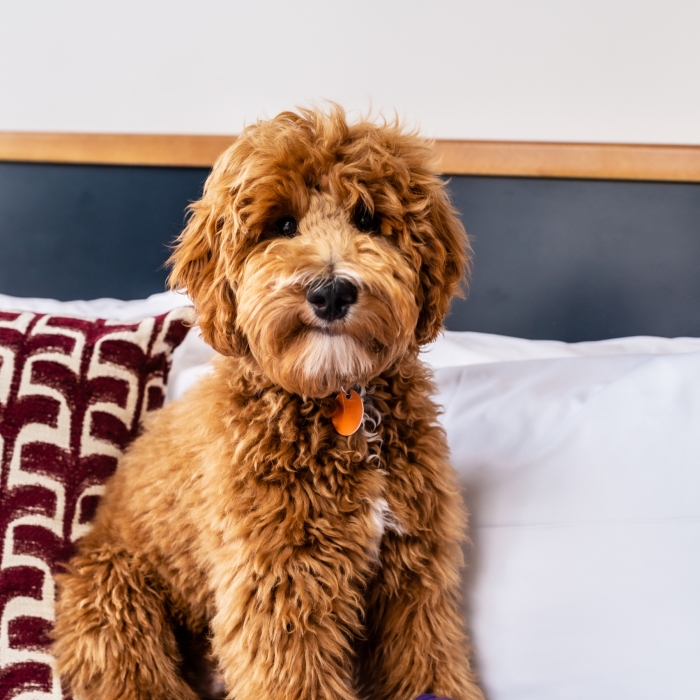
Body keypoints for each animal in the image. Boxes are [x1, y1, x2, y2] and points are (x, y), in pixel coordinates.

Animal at [54, 105, 484, 700]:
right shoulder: (280, 583)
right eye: (282, 225)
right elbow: (295, 676)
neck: (337, 400)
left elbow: (428, 660)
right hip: (117, 598)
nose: (331, 291)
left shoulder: (413, 577)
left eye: (368, 218)